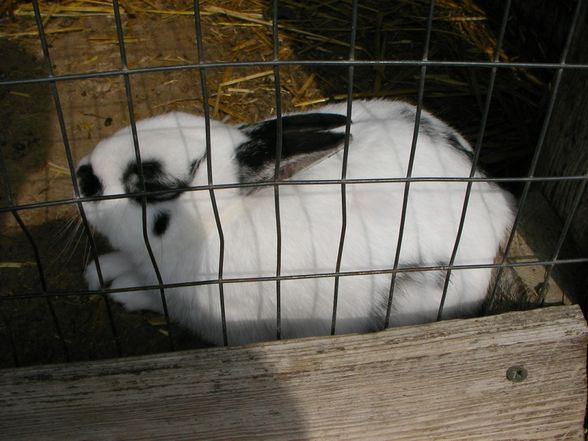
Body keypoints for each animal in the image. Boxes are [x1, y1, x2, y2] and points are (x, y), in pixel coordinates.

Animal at [77, 99, 516, 344]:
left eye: (151, 186)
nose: (82, 176)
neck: (221, 220)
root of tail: (497, 205)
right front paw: (99, 270)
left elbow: (153, 296)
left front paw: (120, 289)